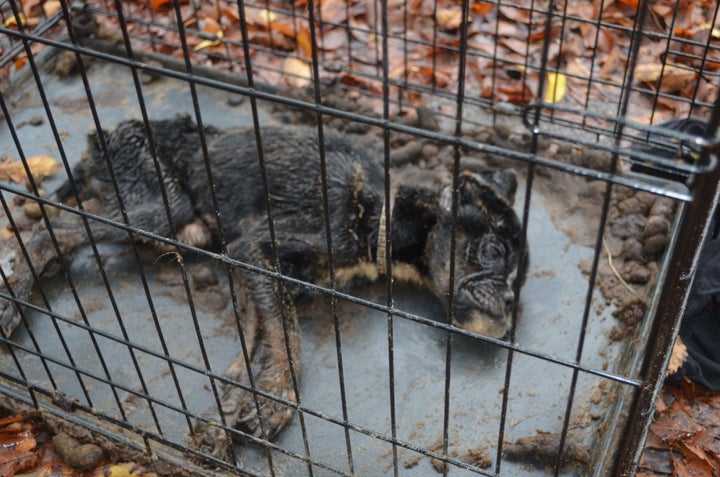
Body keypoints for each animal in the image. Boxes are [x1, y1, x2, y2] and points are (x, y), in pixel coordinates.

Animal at [1, 117, 528, 456]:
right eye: (494, 252)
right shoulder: (255, 252)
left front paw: (230, 412)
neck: (381, 212)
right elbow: (287, 339)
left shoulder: (249, 270)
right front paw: (274, 402)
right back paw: (13, 297)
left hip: (178, 225)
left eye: (518, 279)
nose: (508, 305)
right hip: (162, 212)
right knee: (54, 227)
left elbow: (255, 345)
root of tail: (104, 134)